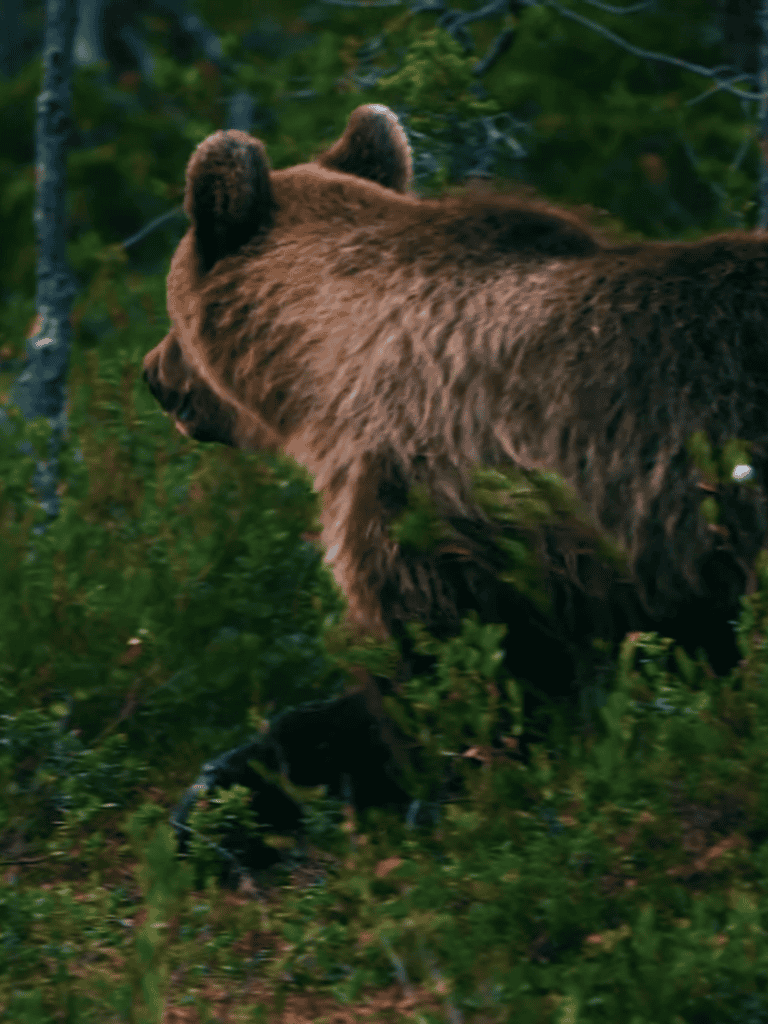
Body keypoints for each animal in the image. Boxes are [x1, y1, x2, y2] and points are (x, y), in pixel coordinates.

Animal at [142, 104, 768, 875]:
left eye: (172, 308)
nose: (153, 373)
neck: (327, 372)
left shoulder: (424, 510)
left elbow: (448, 681)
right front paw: (222, 796)